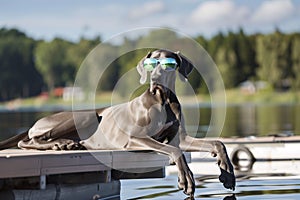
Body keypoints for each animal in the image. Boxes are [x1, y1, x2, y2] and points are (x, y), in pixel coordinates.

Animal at [0, 49, 234, 196]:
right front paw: (186, 179)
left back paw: (69, 144)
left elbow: (218, 143)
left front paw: (227, 173)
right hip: (86, 115)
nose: (155, 78)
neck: (163, 98)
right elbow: (175, 151)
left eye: (168, 64)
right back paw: (60, 144)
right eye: (151, 64)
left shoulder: (180, 138)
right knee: (28, 140)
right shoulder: (135, 139)